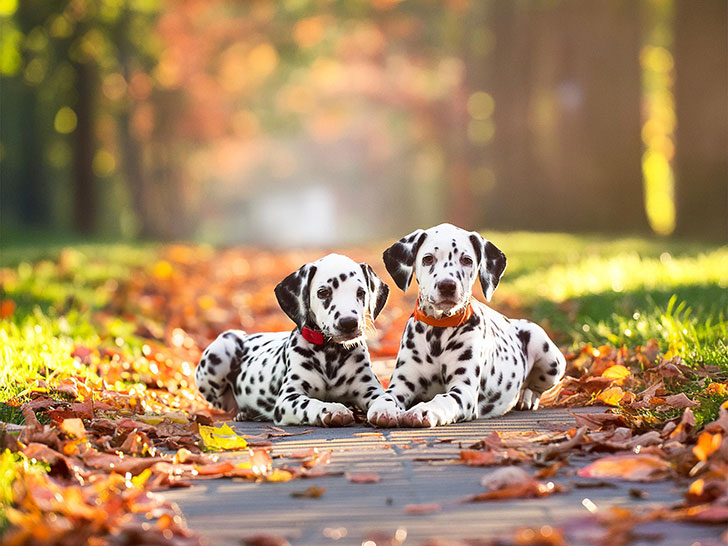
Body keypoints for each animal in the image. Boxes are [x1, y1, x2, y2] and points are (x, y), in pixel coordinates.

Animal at [196, 253, 396, 428]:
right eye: (323, 292)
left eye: (361, 292)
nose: (348, 323)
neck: (330, 353)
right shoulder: (288, 398)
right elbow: (311, 403)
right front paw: (330, 408)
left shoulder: (369, 387)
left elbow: (385, 397)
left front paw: (386, 409)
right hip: (221, 349)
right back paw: (244, 413)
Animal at [366, 223, 564, 428]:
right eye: (428, 259)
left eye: (467, 260)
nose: (447, 285)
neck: (438, 332)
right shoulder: (402, 384)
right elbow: (386, 396)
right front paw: (383, 408)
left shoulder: (463, 390)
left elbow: (442, 399)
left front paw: (423, 410)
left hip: (548, 356)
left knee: (535, 386)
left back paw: (528, 397)